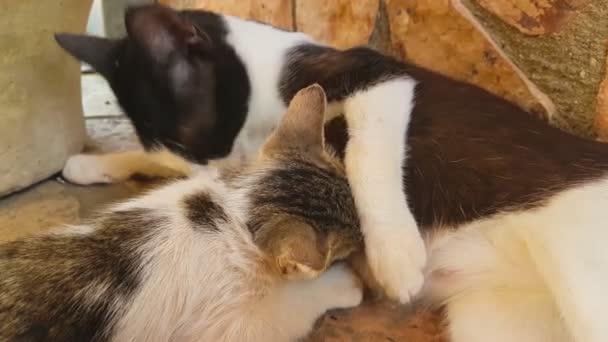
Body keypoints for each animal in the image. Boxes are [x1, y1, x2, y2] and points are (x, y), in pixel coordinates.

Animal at [0, 85, 364, 342]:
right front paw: (344, 285)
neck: (228, 209)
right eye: (346, 250)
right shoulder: (229, 325)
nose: (364, 241)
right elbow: (291, 308)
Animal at [54, 3, 608, 342]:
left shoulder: (379, 76)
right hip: (495, 320)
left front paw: (395, 255)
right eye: (182, 150)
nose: (214, 175)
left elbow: (365, 150)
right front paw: (91, 162)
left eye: (198, 138)